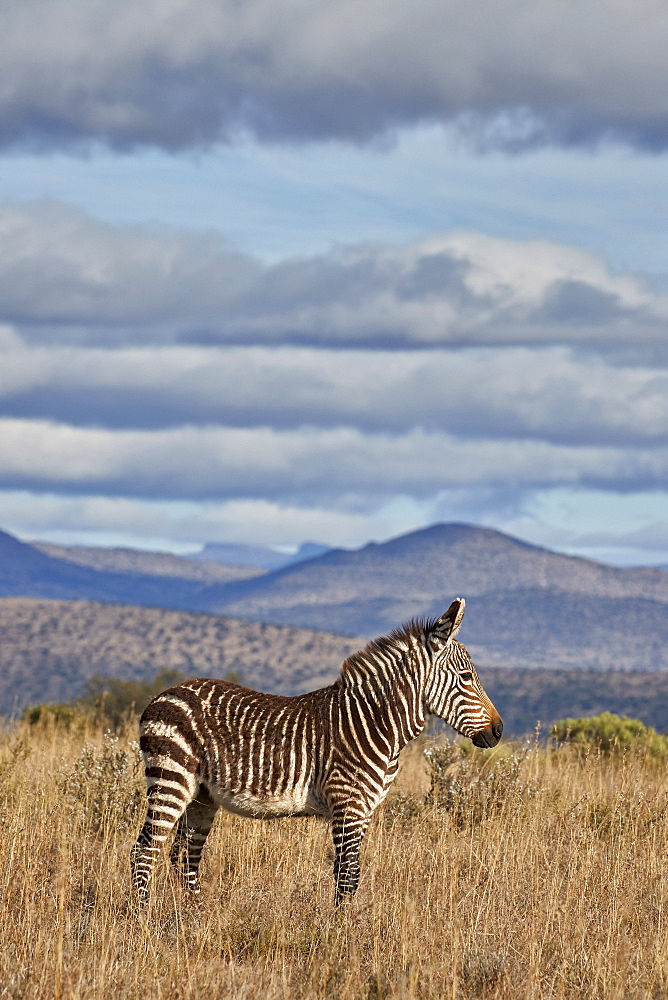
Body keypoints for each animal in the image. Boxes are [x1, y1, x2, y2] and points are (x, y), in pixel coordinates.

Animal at [132, 600, 500, 908]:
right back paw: (143, 919)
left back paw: (195, 918)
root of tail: (162, 695)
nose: (498, 731)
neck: (373, 722)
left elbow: (346, 874)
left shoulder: (363, 810)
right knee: (144, 851)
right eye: (466, 677)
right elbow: (348, 877)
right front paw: (342, 935)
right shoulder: (347, 804)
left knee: (185, 855)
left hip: (203, 795)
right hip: (172, 779)